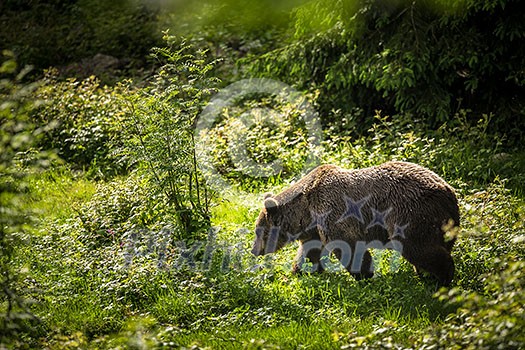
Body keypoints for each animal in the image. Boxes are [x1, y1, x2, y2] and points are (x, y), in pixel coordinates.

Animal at [252, 163, 460, 286]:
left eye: (258, 231)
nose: (254, 251)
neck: (306, 210)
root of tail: (448, 191)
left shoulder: (332, 209)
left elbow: (347, 244)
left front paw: (364, 275)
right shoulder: (314, 228)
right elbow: (311, 251)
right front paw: (297, 272)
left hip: (409, 213)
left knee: (417, 246)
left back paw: (442, 278)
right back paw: (427, 275)